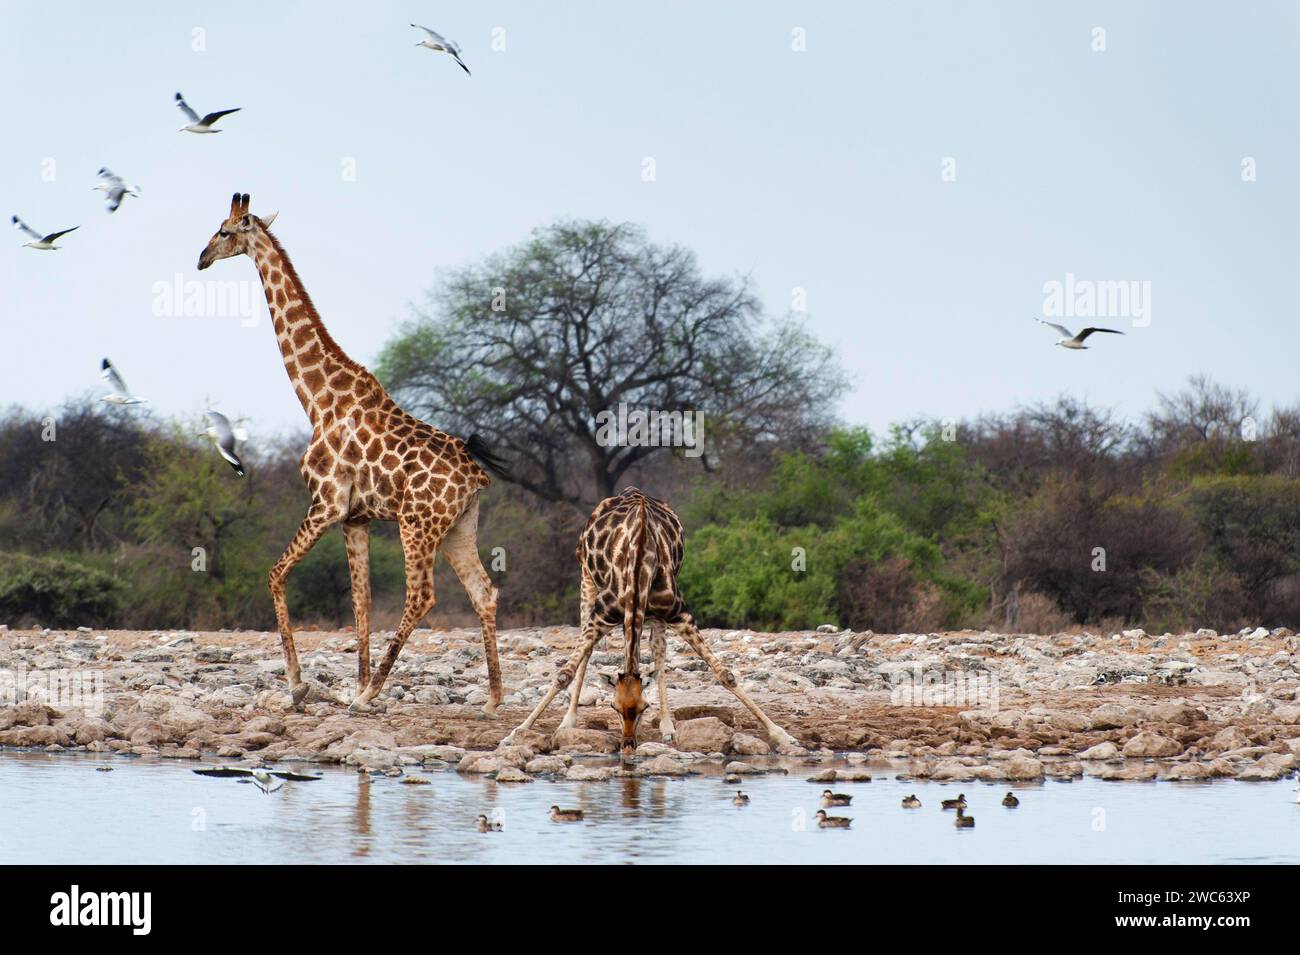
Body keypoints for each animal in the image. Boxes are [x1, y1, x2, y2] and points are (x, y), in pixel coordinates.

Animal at [196, 194, 501, 712]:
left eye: (224, 231)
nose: (200, 258)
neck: (318, 399)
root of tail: (475, 477)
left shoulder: (326, 502)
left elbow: (276, 574)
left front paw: (299, 684)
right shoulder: (355, 517)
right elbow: (361, 602)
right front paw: (351, 684)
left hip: (417, 524)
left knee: (422, 596)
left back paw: (376, 690)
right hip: (460, 527)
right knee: (485, 592)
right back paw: (494, 696)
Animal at [499, 488, 795, 758]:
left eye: (643, 708)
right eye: (614, 708)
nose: (628, 746)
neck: (638, 566)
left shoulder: (679, 614)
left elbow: (725, 675)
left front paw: (783, 735)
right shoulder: (601, 616)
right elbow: (564, 674)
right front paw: (515, 733)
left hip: (655, 613)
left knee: (657, 651)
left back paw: (667, 726)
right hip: (586, 581)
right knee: (589, 652)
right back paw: (567, 722)